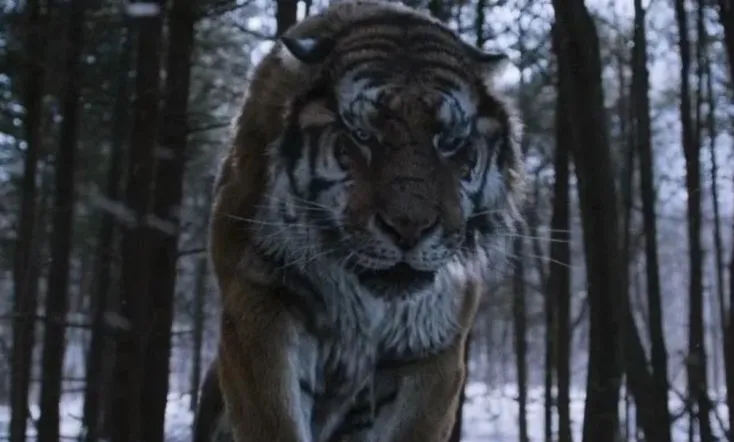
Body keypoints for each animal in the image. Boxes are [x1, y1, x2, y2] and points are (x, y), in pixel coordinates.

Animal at [196, 1, 525, 441]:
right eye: (364, 136)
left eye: (449, 142)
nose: (409, 228)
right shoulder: (260, 296)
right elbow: (274, 415)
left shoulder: (436, 339)